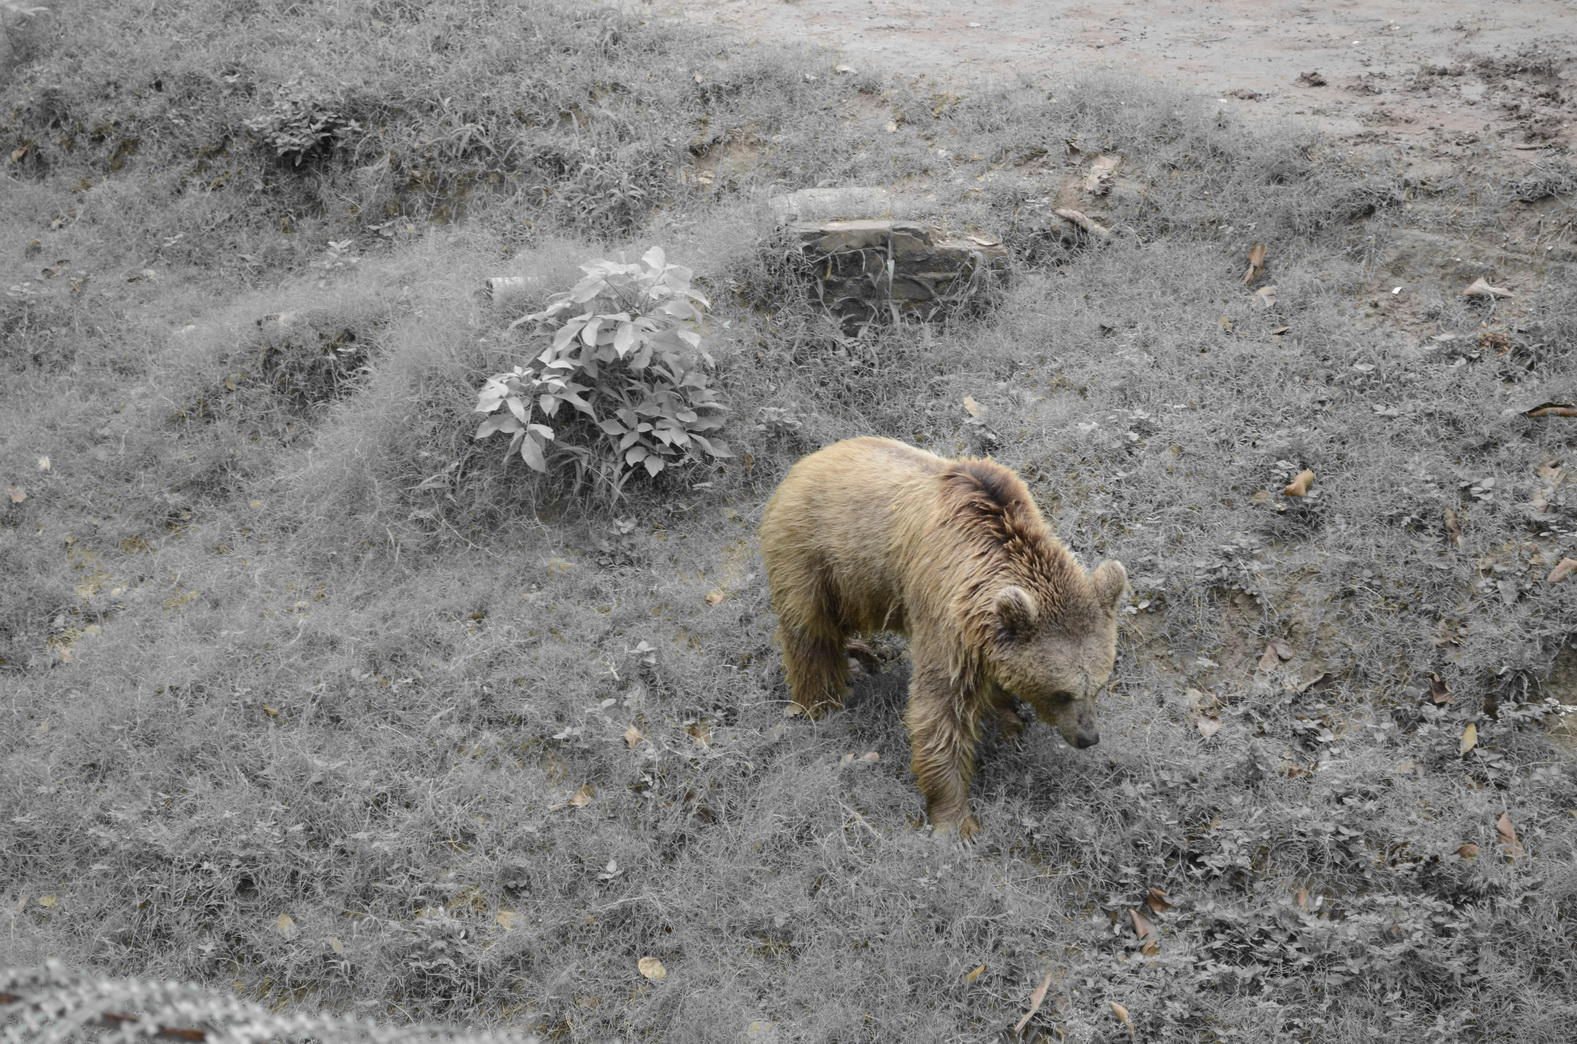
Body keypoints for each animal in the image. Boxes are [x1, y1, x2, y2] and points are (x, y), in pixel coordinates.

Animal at [760, 438, 1122, 845]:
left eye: (1098, 685)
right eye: (1061, 692)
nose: (1088, 736)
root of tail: (805, 463)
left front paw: (1009, 717)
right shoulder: (946, 616)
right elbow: (940, 710)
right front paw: (956, 821)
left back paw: (866, 653)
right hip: (815, 554)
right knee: (810, 633)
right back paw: (818, 703)